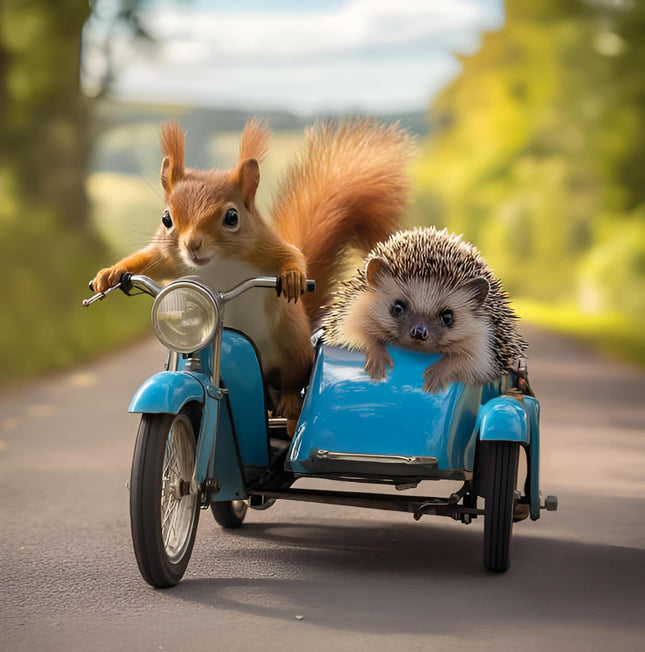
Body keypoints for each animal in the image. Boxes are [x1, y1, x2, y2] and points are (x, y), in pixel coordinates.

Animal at [91, 117, 415, 422]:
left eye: (232, 217)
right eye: (166, 219)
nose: (193, 245)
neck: (216, 266)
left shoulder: (266, 247)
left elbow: (292, 255)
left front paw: (293, 277)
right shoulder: (170, 258)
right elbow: (146, 261)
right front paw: (110, 274)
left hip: (290, 342)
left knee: (292, 379)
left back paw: (290, 400)